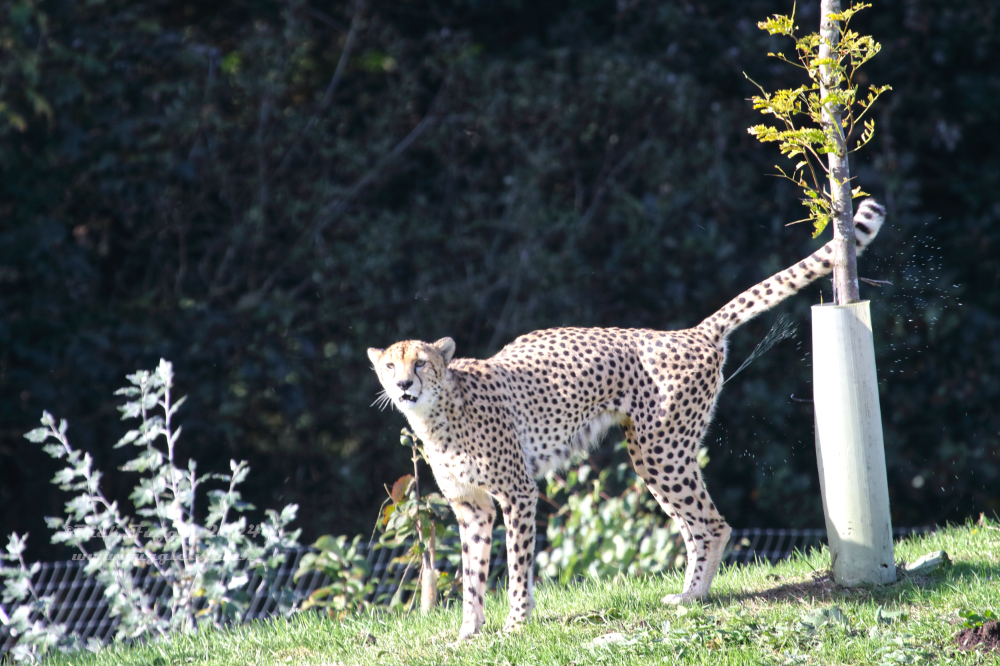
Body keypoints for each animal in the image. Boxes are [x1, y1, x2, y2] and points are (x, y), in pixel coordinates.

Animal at [372, 200, 888, 636]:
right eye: (390, 366)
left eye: (421, 363)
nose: (404, 386)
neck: (439, 415)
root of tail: (687, 333)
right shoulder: (471, 506)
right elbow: (473, 572)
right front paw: (468, 632)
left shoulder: (517, 492)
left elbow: (517, 565)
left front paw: (516, 623)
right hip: (658, 454)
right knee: (693, 527)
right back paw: (689, 595)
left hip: (660, 451)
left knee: (711, 524)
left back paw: (693, 596)